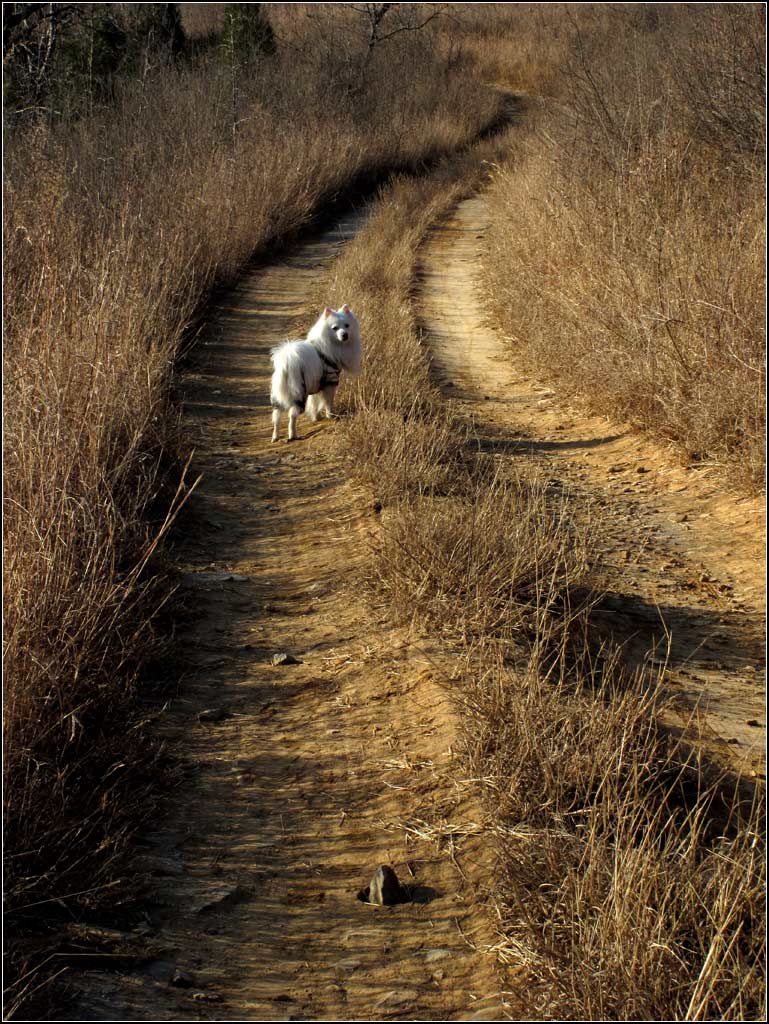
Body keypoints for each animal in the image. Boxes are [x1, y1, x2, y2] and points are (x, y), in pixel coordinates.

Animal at [270, 303, 364, 440]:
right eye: (335, 328)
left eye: (347, 325)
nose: (345, 334)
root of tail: (288, 362)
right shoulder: (330, 382)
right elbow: (328, 402)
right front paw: (331, 416)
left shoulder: (316, 384)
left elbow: (315, 402)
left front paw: (316, 417)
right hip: (299, 393)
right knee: (292, 415)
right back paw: (292, 434)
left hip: (279, 395)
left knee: (276, 417)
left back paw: (275, 437)